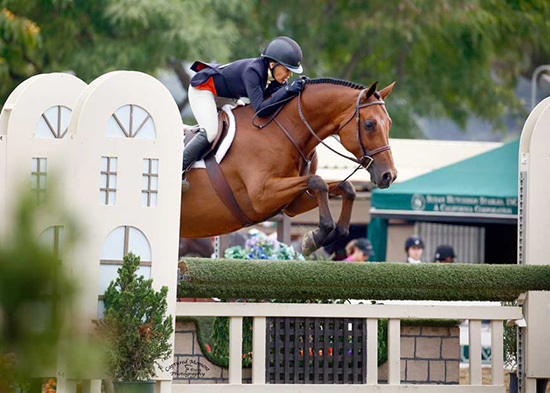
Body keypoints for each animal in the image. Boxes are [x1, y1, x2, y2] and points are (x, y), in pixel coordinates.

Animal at [179, 77, 398, 254]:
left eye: (389, 123)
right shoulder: (261, 196)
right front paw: (316, 237)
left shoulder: (293, 202)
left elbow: (346, 187)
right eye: (369, 124)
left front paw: (323, 236)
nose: (389, 175)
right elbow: (318, 182)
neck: (284, 130)